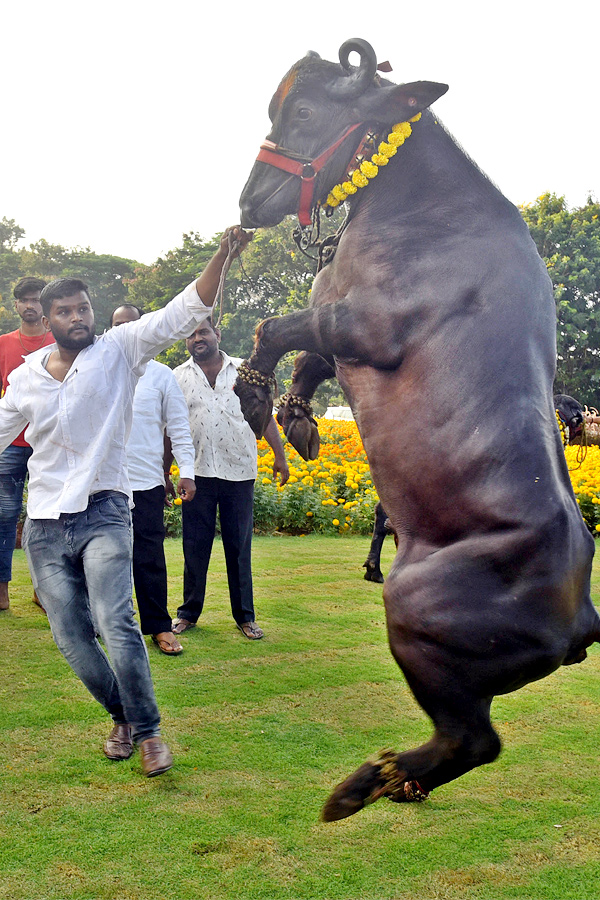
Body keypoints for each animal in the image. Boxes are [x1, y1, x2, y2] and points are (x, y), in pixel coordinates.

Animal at [236, 38, 600, 820]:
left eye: (303, 111)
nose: (248, 201)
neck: (426, 210)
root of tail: (580, 616)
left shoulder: (364, 325)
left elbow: (275, 327)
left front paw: (256, 399)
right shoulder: (339, 332)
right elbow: (305, 358)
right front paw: (297, 419)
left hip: (418, 618)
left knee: (474, 740)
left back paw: (361, 786)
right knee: (470, 743)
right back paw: (395, 783)